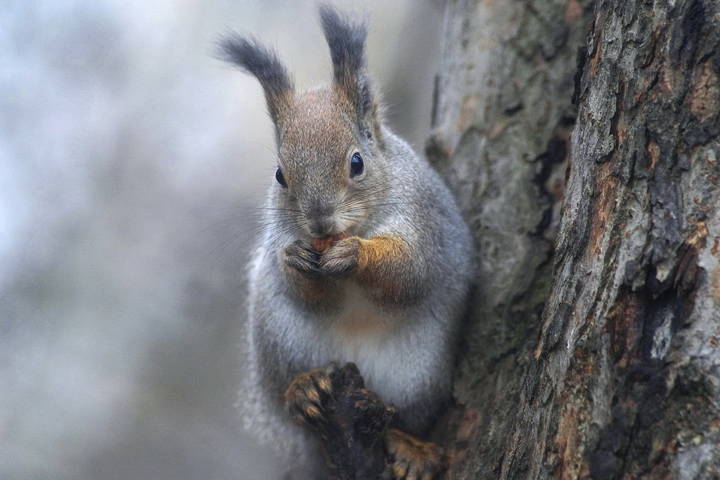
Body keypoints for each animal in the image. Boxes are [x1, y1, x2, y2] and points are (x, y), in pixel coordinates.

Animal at [219, 5, 474, 479]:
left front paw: (356, 254)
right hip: (281, 342)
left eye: (357, 162)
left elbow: (408, 270)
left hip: (418, 374)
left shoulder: (424, 223)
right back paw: (304, 388)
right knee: (291, 400)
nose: (320, 224)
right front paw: (295, 259)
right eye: (280, 175)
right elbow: (305, 287)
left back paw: (410, 446)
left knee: (402, 417)